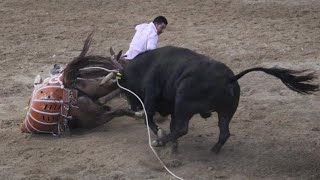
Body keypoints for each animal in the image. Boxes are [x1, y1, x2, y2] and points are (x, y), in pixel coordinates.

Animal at [119, 45, 318, 153]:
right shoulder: (172, 106)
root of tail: (229, 78)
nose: (132, 107)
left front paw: (160, 136)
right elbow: (170, 124)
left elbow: (149, 118)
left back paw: (160, 142)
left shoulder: (152, 96)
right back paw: (214, 150)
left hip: (184, 102)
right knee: (224, 132)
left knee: (183, 128)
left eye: (124, 89)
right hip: (225, 112)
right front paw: (172, 145)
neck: (145, 66)